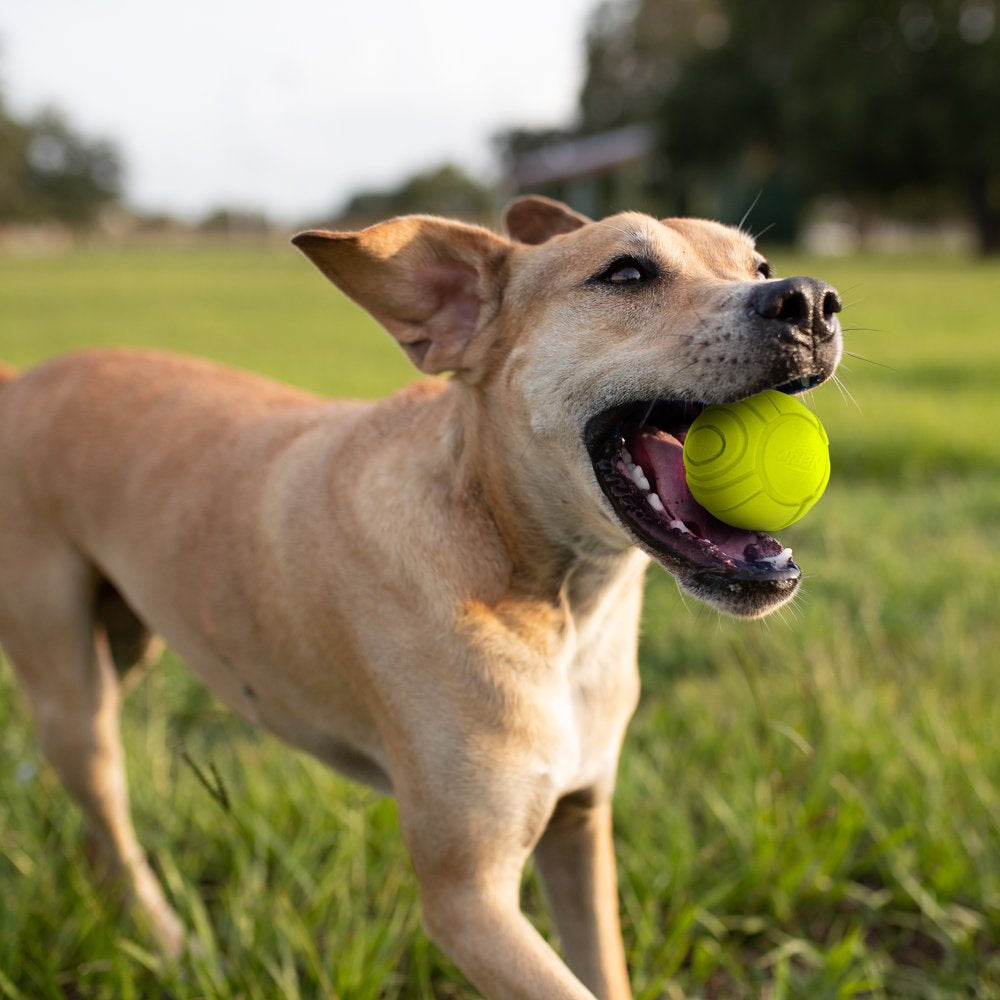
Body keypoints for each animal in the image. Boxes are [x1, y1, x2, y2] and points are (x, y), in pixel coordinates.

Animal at [0, 197, 844, 1000]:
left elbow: (602, 969)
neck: (550, 598)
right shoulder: (468, 902)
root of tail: (23, 379)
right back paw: (166, 937)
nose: (808, 299)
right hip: (76, 704)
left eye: (758, 264)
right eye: (627, 273)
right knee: (105, 801)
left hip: (127, 645)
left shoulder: (580, 824)